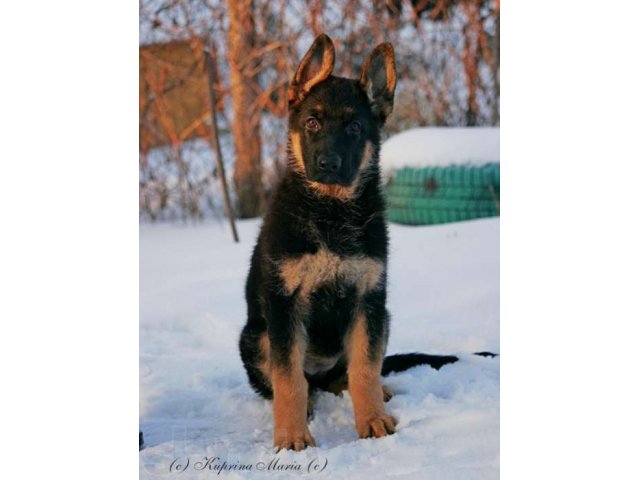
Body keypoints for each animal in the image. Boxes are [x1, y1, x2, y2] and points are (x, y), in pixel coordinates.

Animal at [238, 32, 468, 450]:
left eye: (355, 129)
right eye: (312, 122)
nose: (328, 164)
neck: (332, 213)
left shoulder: (368, 300)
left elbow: (364, 368)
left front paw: (372, 420)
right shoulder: (284, 304)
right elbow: (288, 378)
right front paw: (292, 436)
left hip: (384, 318)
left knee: (346, 375)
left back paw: (378, 391)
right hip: (254, 336)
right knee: (301, 383)